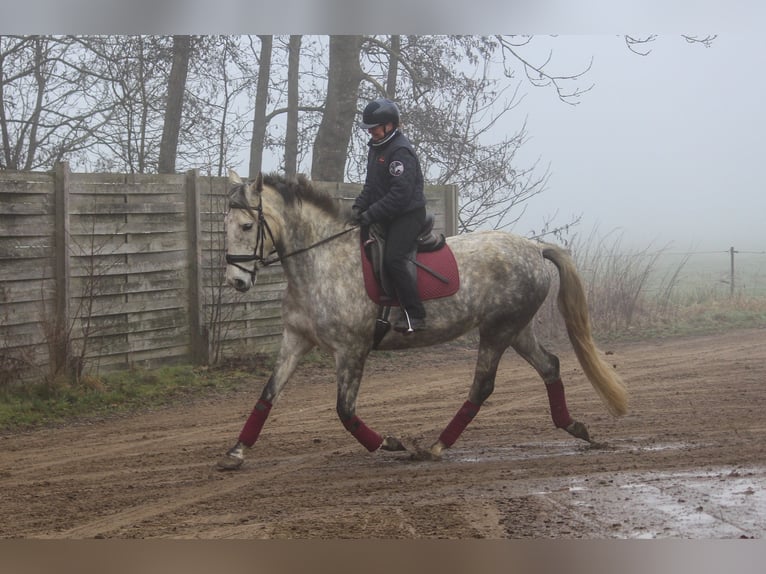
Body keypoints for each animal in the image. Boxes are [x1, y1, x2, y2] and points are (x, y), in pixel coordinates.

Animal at [218, 171, 632, 472]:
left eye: (246, 226)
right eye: (226, 224)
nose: (236, 282)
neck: (321, 262)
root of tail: (534, 247)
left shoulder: (351, 349)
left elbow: (344, 411)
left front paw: (389, 443)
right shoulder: (295, 339)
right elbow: (267, 395)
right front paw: (236, 453)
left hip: (498, 330)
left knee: (482, 387)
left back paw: (436, 447)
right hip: (517, 328)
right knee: (550, 366)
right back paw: (573, 427)